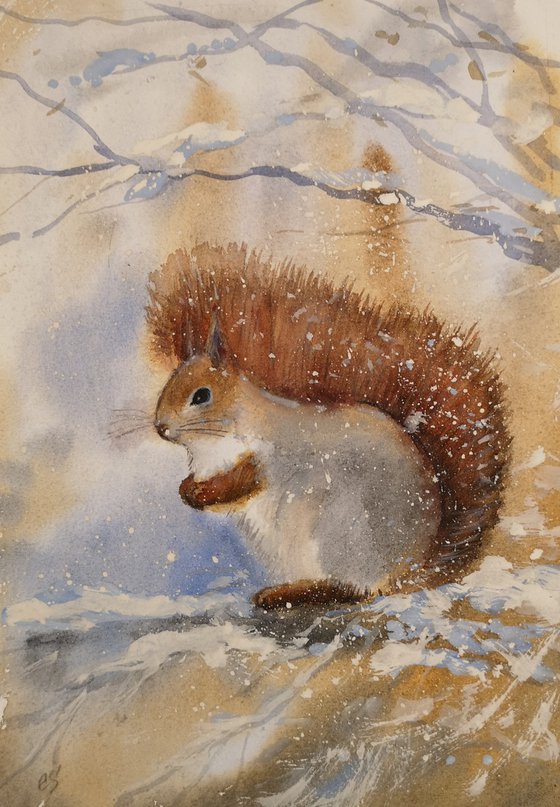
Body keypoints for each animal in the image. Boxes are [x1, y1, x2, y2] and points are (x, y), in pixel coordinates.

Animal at [147, 242, 510, 609]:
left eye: (201, 396)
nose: (160, 427)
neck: (216, 439)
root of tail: (408, 569)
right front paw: (188, 488)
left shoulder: (272, 456)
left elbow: (242, 483)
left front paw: (202, 491)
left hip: (340, 532)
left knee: (357, 590)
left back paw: (290, 593)